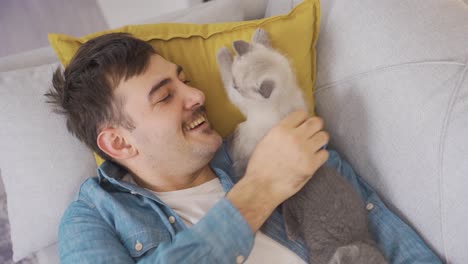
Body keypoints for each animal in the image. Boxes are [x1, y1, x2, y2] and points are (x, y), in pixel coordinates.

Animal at [218, 28, 386, 264]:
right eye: (235, 80)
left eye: (239, 87)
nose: (235, 86)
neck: (284, 89)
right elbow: (261, 45)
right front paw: (260, 35)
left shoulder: (242, 102)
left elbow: (225, 76)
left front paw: (222, 53)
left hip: (244, 132)